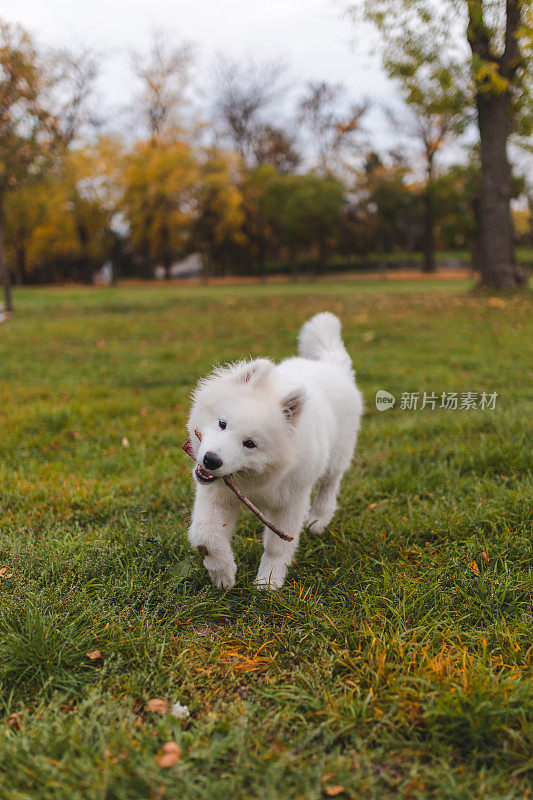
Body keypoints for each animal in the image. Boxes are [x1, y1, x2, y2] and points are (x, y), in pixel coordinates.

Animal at [185, 312, 364, 588]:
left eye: (250, 444)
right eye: (222, 423)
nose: (211, 460)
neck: (255, 481)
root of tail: (332, 365)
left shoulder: (291, 501)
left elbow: (278, 547)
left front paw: (268, 583)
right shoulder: (218, 494)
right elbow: (205, 536)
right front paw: (224, 574)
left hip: (337, 455)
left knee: (330, 484)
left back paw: (318, 520)